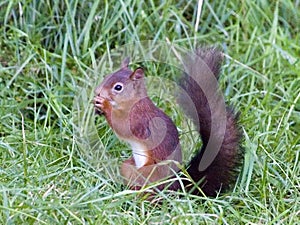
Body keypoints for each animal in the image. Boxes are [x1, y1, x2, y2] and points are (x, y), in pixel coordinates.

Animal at [94, 48, 244, 197]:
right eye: (107, 76)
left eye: (118, 87)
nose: (97, 92)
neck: (133, 102)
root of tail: (177, 186)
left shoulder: (139, 119)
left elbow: (123, 128)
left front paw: (104, 105)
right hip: (129, 166)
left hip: (147, 173)